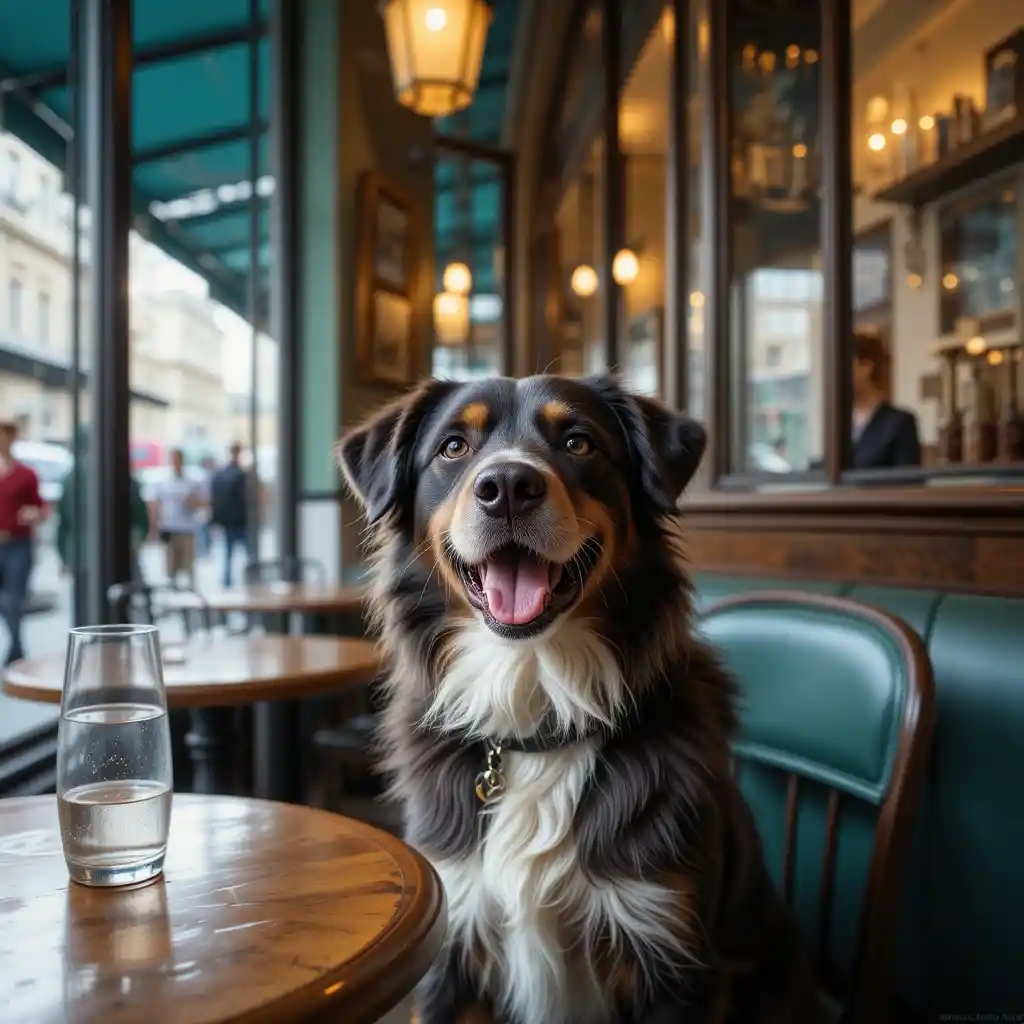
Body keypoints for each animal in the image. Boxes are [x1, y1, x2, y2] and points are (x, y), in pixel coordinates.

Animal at [339, 376, 819, 1024]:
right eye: (453, 447)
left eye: (578, 442)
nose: (507, 487)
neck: (538, 706)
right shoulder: (453, 943)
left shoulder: (669, 953)